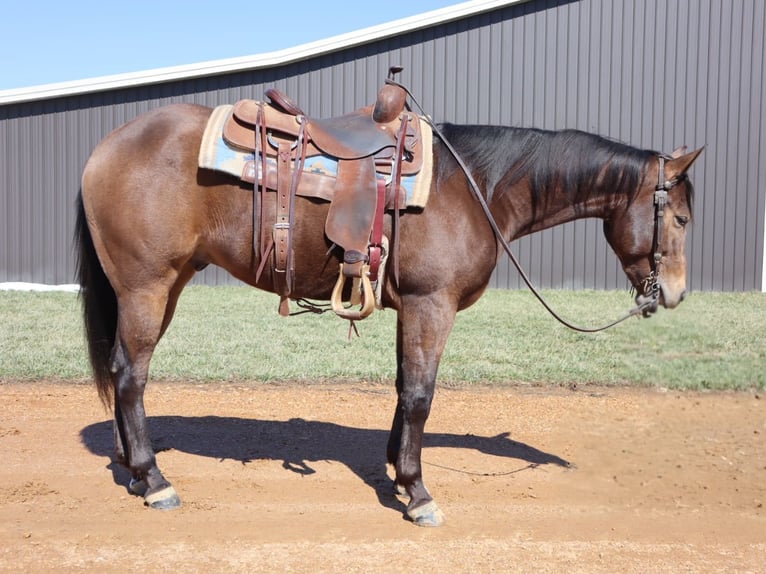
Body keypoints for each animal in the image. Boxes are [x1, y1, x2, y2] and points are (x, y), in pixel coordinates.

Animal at [75, 98, 704, 528]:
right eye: (680, 218)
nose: (674, 294)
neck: (477, 187)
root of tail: (106, 147)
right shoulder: (432, 305)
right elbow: (422, 395)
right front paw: (419, 494)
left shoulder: (413, 309)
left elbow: (405, 388)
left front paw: (398, 475)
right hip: (148, 286)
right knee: (131, 376)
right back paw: (155, 480)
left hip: (167, 284)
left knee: (121, 368)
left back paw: (132, 472)